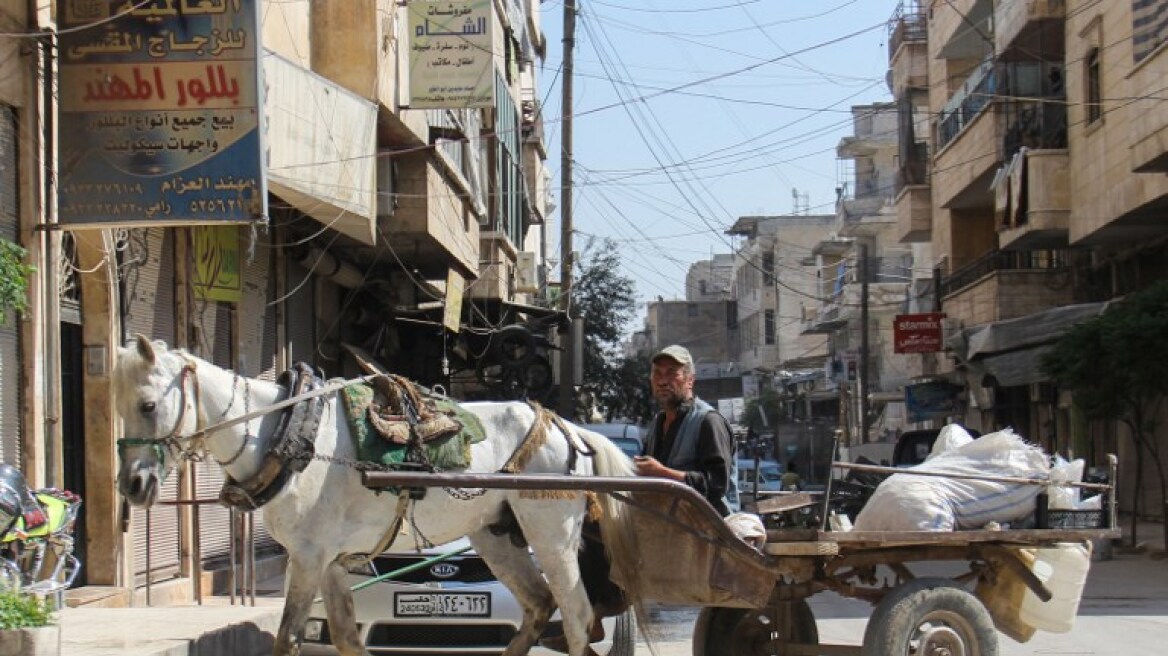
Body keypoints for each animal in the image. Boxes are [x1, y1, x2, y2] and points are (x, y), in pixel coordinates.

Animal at [111, 336, 640, 653]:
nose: (133, 486)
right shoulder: (329, 560)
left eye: (149, 405)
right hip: (496, 535)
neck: (284, 433)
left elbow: (286, 639)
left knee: (575, 615)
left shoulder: (307, 556)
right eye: (118, 405)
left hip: (550, 535)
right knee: (539, 604)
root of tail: (566, 427)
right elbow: (347, 638)